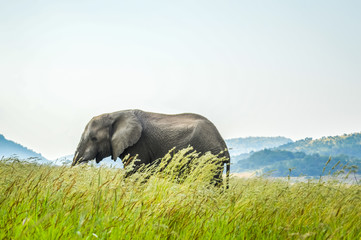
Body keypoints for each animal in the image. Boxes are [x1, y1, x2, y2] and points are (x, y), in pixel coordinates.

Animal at [72, 109, 231, 187]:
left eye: (94, 138)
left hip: (209, 157)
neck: (114, 114)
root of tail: (223, 145)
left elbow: (135, 175)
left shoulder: (139, 145)